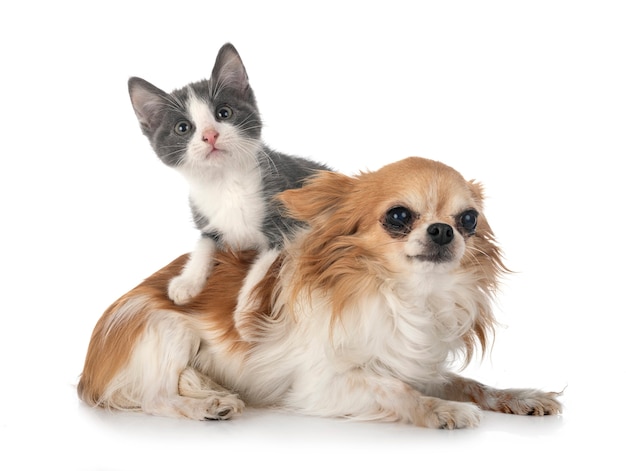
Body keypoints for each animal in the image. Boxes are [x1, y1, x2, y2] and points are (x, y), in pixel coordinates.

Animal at [78, 158, 560, 428]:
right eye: (399, 216)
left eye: (469, 220)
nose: (443, 230)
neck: (404, 295)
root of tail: (89, 371)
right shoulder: (321, 384)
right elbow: (394, 390)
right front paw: (441, 411)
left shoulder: (416, 363)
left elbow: (471, 383)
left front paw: (521, 397)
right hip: (165, 327)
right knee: (155, 397)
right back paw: (208, 407)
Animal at [130, 44, 330, 306]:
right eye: (183, 128)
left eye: (224, 113)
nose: (210, 135)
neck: (226, 182)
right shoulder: (207, 220)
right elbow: (204, 244)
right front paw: (188, 281)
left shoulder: (290, 227)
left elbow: (260, 270)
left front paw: (245, 304)